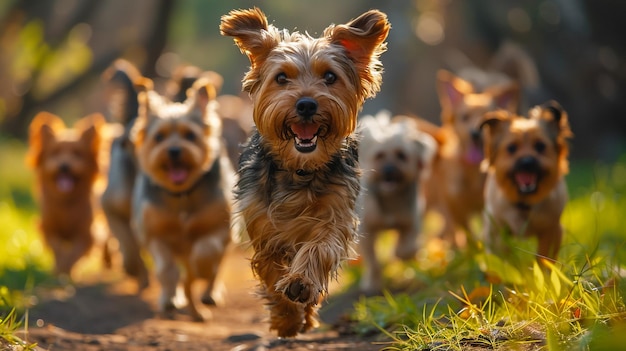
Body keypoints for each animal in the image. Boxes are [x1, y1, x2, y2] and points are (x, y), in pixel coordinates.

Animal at [26, 112, 105, 278]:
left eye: (77, 154)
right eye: (55, 153)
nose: (64, 166)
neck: (66, 203)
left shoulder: (86, 234)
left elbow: (75, 253)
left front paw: (68, 270)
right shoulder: (49, 228)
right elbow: (58, 249)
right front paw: (60, 269)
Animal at [128, 75, 235, 324]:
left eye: (190, 135)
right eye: (159, 137)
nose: (174, 151)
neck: (182, 196)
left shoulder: (220, 226)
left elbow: (208, 252)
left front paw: (201, 270)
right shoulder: (155, 233)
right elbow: (166, 268)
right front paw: (170, 298)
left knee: (216, 266)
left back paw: (208, 293)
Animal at [217, 6, 388, 336]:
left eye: (330, 77)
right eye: (281, 77)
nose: (306, 104)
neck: (300, 170)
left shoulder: (336, 216)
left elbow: (319, 248)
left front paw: (301, 284)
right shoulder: (263, 225)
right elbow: (271, 272)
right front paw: (286, 319)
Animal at [354, 112, 436, 294]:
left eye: (401, 155)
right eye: (379, 155)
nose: (389, 170)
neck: (390, 198)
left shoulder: (411, 221)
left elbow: (405, 248)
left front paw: (401, 253)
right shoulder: (367, 230)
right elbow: (372, 262)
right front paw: (372, 283)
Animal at [478, 101, 572, 262]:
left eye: (540, 146)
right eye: (511, 148)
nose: (527, 162)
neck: (524, 202)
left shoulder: (551, 230)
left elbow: (545, 258)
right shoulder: (498, 231)